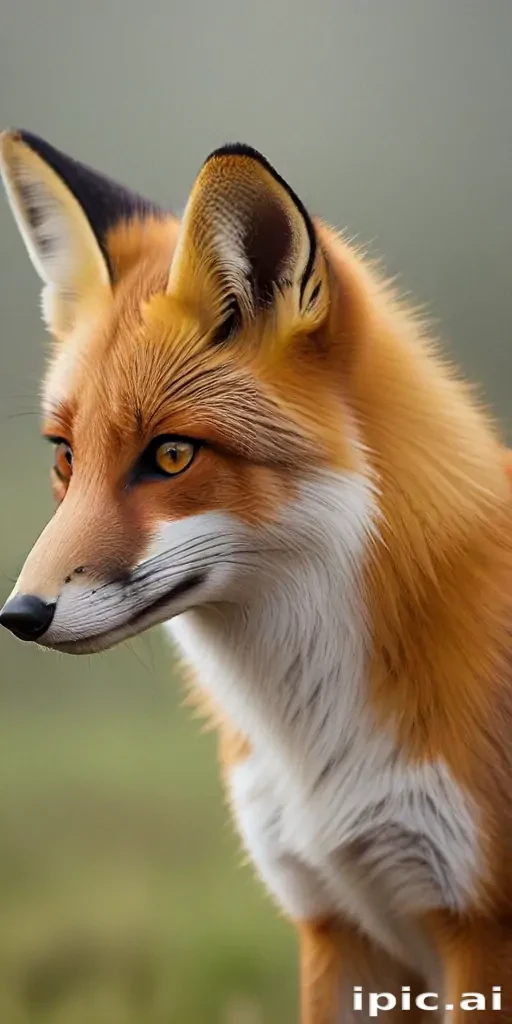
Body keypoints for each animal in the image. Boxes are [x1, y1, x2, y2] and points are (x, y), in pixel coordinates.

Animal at [1, 129, 512, 1023]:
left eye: (172, 455)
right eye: (66, 457)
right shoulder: (337, 925)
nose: (20, 614)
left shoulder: (480, 932)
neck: (314, 746)